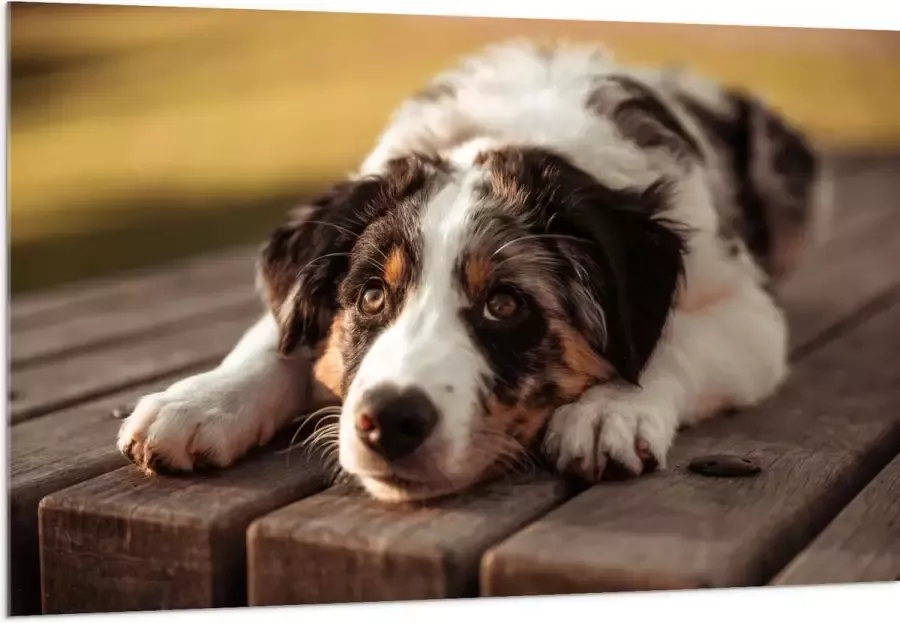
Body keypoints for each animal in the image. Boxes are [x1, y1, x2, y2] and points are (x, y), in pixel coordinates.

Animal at [116, 39, 832, 504]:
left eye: (505, 304)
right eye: (371, 296)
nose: (389, 422)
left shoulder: (749, 312)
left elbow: (671, 342)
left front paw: (611, 410)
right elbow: (275, 336)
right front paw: (198, 402)